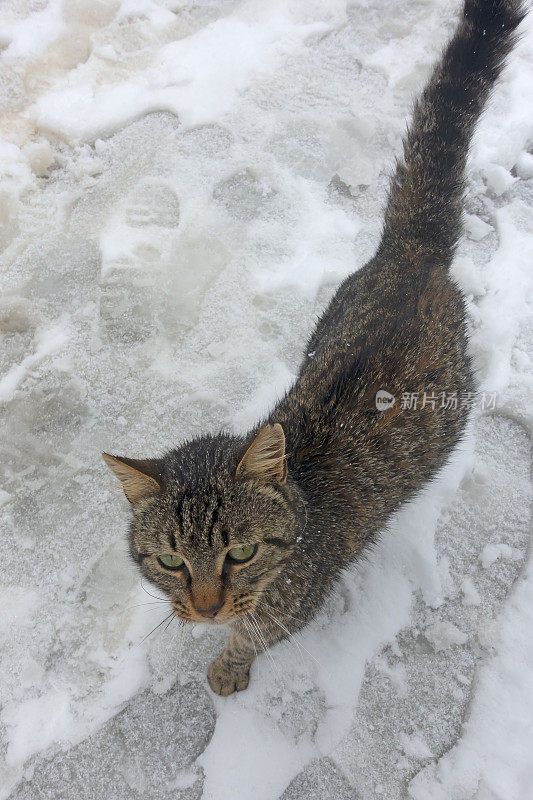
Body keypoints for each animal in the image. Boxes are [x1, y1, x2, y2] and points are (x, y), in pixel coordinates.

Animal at [104, 1, 524, 692]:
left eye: (241, 552)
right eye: (170, 561)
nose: (206, 607)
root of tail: (412, 252)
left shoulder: (290, 609)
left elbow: (251, 637)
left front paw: (228, 667)